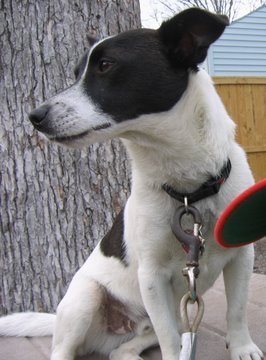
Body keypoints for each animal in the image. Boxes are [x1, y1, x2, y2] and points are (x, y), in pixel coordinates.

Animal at [0, 7, 262, 360]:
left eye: (105, 65)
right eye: (76, 72)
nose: (35, 116)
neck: (189, 190)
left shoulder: (241, 256)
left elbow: (236, 311)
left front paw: (242, 347)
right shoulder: (151, 277)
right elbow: (170, 340)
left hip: (148, 325)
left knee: (121, 350)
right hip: (86, 298)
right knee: (64, 350)